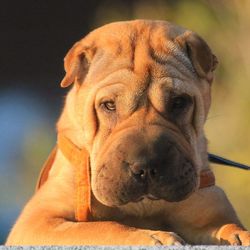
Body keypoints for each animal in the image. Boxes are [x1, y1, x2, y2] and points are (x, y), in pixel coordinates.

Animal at [6, 20, 250, 246]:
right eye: (109, 105)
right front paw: (153, 237)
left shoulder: (209, 210)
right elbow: (102, 228)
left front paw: (241, 236)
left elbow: (231, 226)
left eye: (179, 102)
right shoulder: (37, 220)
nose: (146, 166)